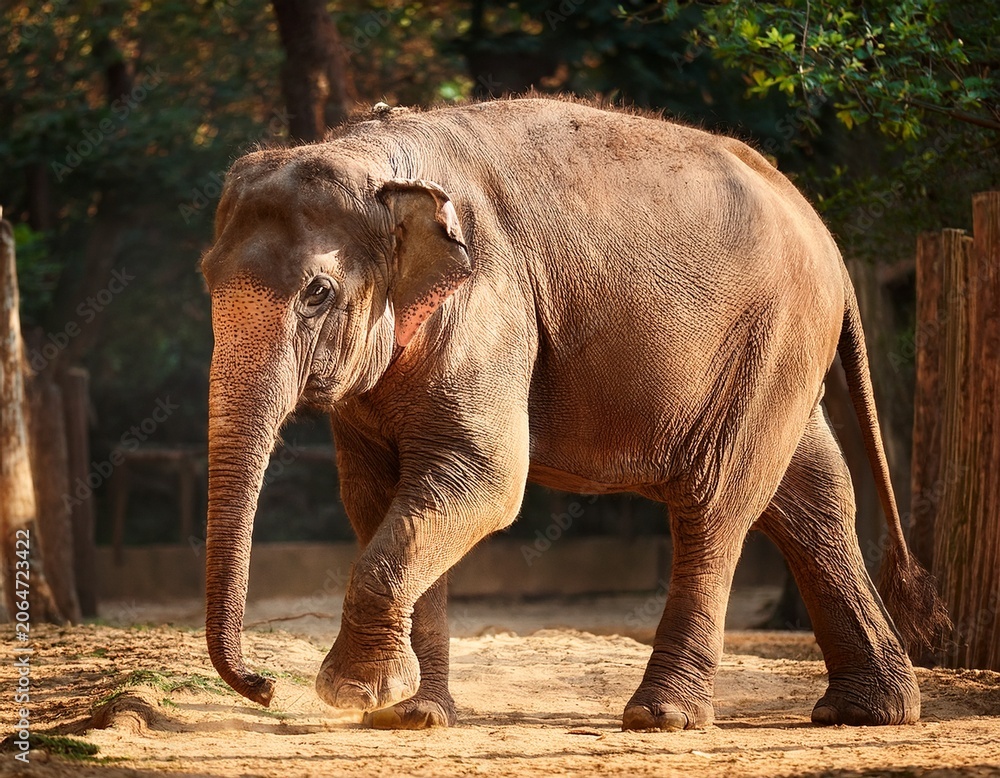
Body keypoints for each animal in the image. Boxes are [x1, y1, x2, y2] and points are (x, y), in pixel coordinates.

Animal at [200, 96, 949, 731]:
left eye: (318, 293)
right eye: (207, 278)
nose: (263, 684)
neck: (383, 165)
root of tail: (828, 238)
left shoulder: (492, 303)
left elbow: (482, 480)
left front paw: (354, 694)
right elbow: (381, 497)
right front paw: (411, 715)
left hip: (772, 338)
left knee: (716, 503)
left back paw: (662, 717)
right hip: (780, 355)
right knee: (812, 494)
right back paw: (868, 712)